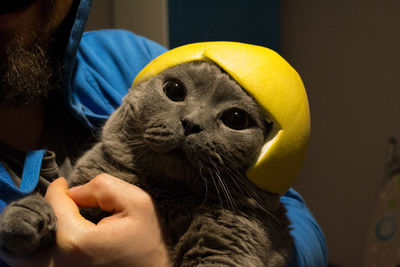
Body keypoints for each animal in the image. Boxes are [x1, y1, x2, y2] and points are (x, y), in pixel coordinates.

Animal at [0, 61, 292, 266]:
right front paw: (25, 216)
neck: (163, 193)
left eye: (235, 119)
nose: (192, 123)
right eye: (174, 90)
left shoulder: (228, 241)